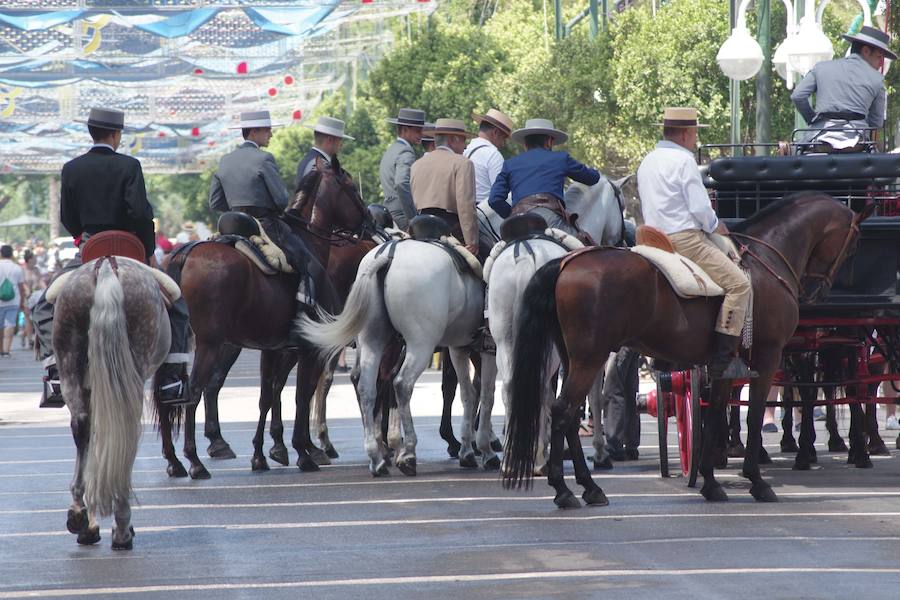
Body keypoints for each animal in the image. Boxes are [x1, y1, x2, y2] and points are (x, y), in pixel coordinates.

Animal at [156, 163, 374, 478]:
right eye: (350, 188)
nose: (370, 220)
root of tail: (184, 253)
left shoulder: (273, 348)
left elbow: (267, 395)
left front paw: (262, 455)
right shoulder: (310, 349)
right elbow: (301, 395)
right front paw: (303, 452)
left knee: (168, 391)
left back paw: (174, 461)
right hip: (210, 344)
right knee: (194, 392)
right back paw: (195, 461)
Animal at [300, 237, 492, 476]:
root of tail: (389, 254)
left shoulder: (460, 347)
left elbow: (469, 392)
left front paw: (468, 447)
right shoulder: (485, 349)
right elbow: (486, 393)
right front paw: (483, 447)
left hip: (373, 340)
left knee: (365, 386)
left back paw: (376, 456)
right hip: (419, 343)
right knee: (400, 383)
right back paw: (405, 452)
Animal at [502, 195, 876, 508]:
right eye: (855, 244)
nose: (817, 292)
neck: (767, 260)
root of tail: (566, 262)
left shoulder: (724, 367)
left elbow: (716, 414)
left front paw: (711, 482)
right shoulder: (766, 358)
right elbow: (753, 415)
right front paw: (756, 481)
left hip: (574, 359)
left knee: (565, 413)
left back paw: (585, 487)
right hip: (589, 359)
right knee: (564, 412)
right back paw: (568, 489)